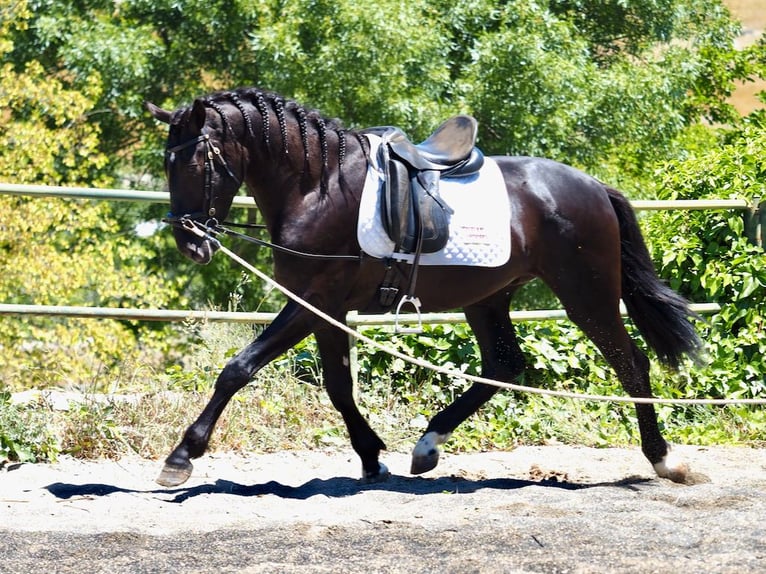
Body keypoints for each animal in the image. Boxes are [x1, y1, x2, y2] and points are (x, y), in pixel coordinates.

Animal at [146, 88, 704, 488]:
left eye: (193, 162)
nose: (189, 242)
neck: (318, 187)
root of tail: (594, 187)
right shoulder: (326, 309)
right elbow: (339, 385)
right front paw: (371, 456)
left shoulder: (310, 303)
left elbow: (237, 370)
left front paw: (181, 456)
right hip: (489, 298)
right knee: (504, 364)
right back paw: (427, 446)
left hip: (586, 295)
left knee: (631, 364)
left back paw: (664, 460)